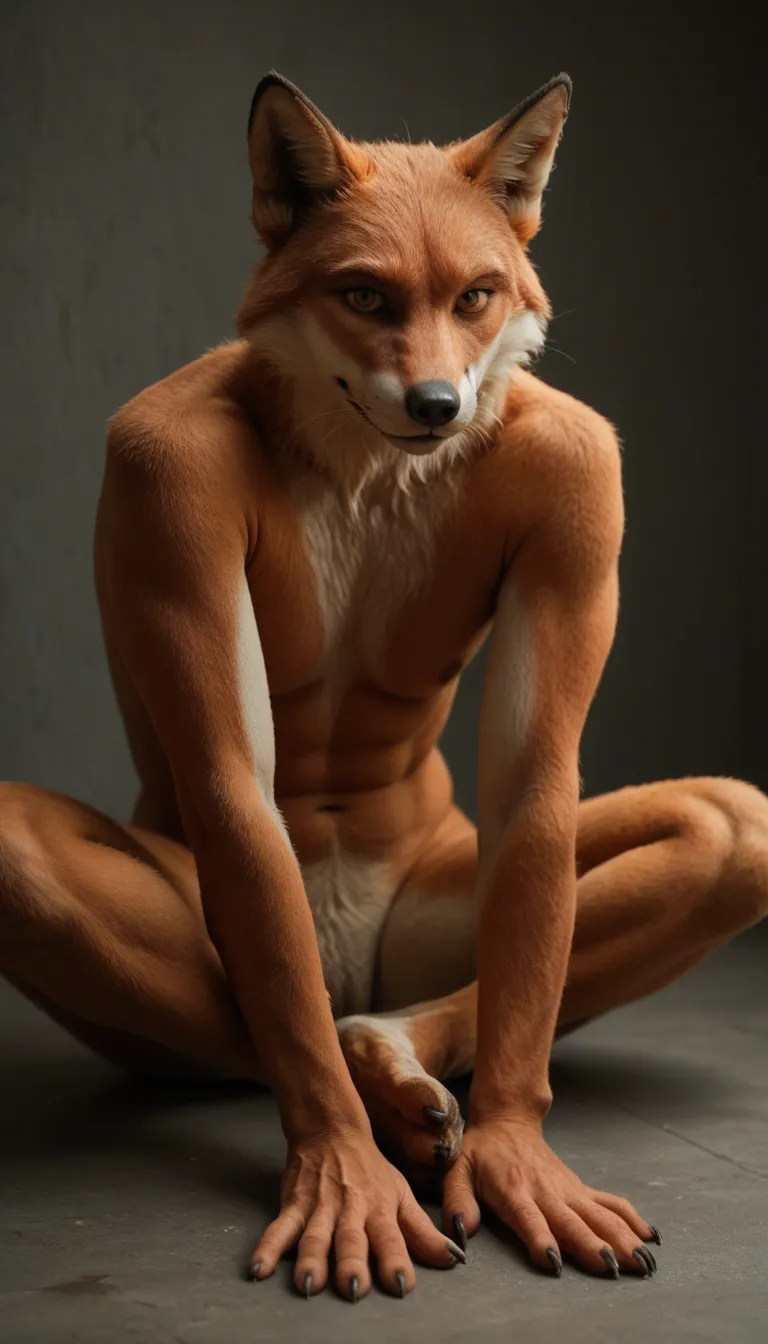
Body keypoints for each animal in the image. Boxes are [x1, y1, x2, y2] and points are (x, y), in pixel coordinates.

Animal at [1, 69, 767, 1304]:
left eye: (476, 295)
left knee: (713, 827)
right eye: (364, 295)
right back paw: (367, 1101)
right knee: (252, 1007)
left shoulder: (580, 482)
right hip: (205, 940)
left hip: (458, 912)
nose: (438, 403)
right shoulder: (166, 470)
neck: (366, 465)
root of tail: (350, 960)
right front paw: (343, 1165)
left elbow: (538, 784)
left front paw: (510, 1144)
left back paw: (397, 1065)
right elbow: (233, 783)